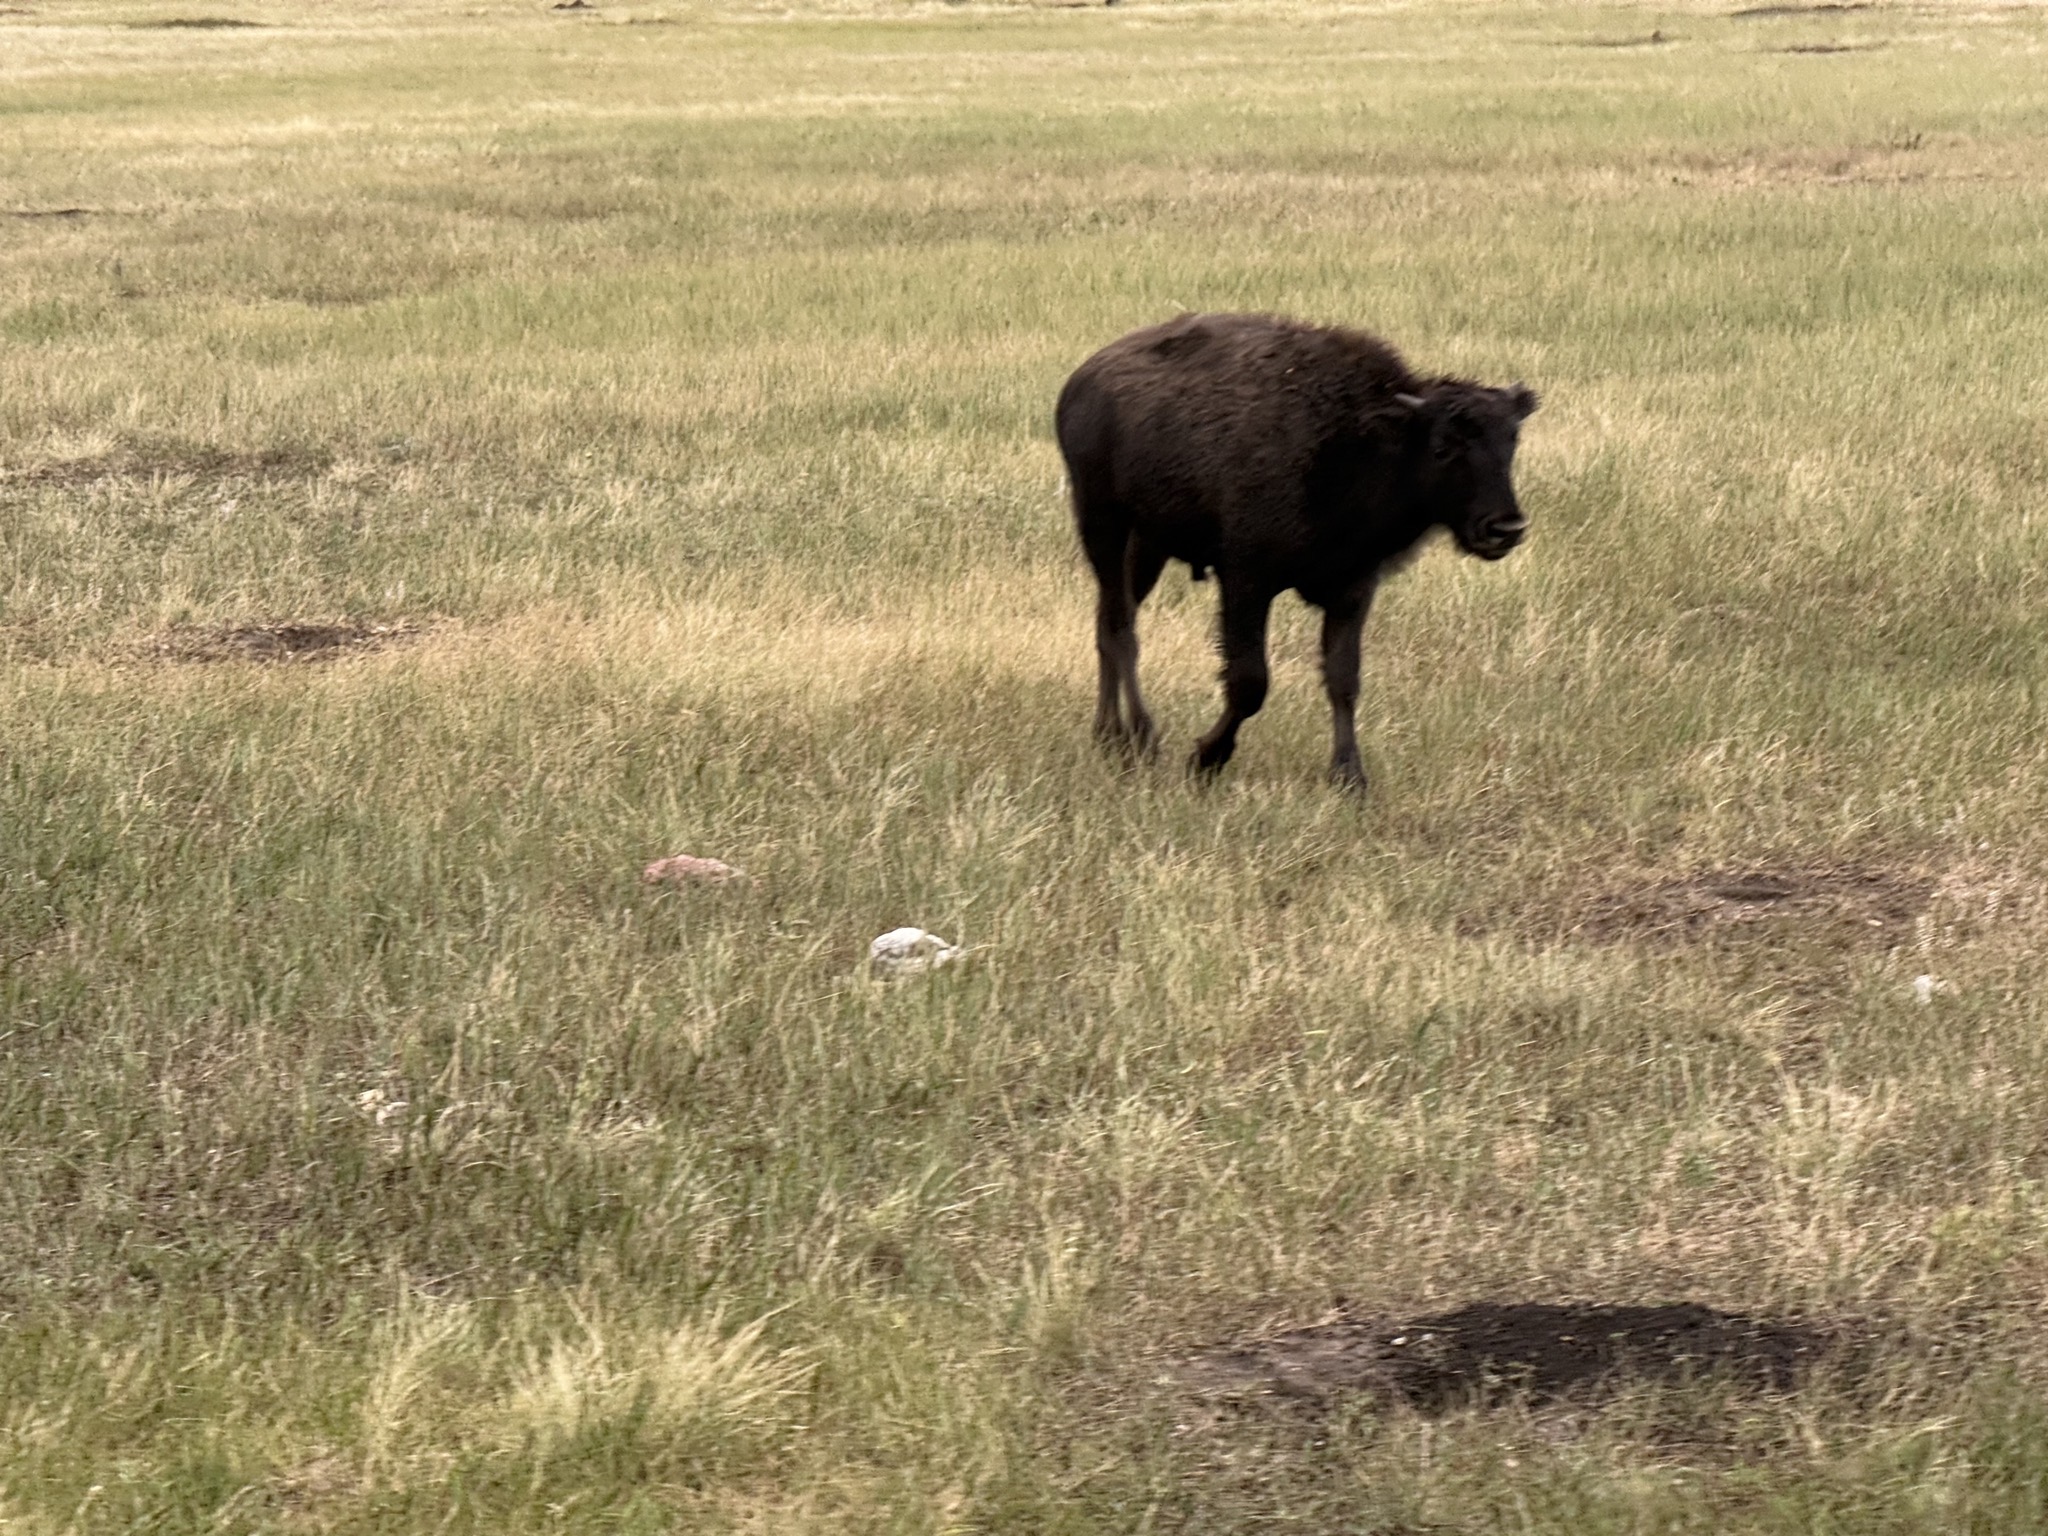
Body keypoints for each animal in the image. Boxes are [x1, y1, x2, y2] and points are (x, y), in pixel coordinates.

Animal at [1055, 311, 1537, 790]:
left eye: (1511, 444)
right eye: (1442, 447)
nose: (1505, 528)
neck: (1363, 440)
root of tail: (1080, 381)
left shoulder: (1353, 590)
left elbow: (1343, 679)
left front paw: (1350, 778)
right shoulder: (1246, 581)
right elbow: (1250, 682)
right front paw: (1207, 758)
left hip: (1146, 546)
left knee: (1109, 624)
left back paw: (1110, 737)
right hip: (1103, 526)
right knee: (1121, 630)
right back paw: (1138, 738)